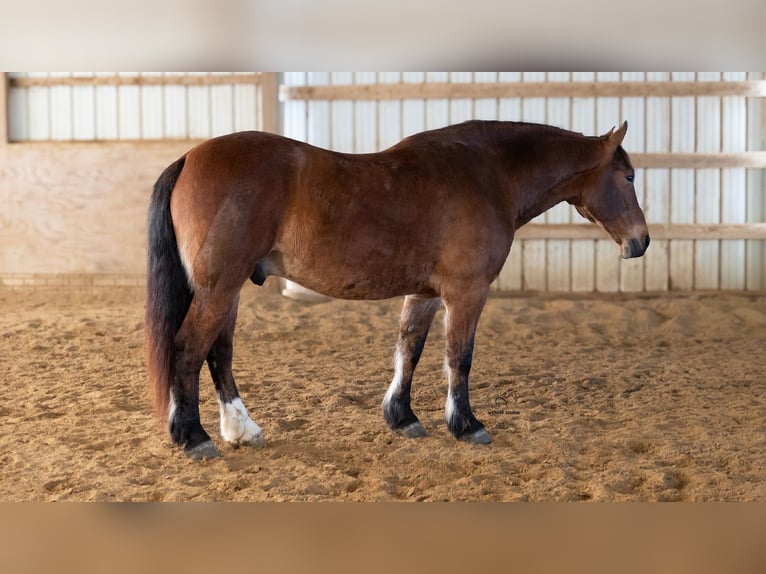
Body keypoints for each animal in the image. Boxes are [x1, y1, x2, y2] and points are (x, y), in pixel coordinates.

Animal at [145, 119, 650, 459]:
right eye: (628, 177)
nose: (641, 241)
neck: (488, 175)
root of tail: (190, 159)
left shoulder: (424, 293)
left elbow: (410, 349)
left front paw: (402, 417)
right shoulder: (466, 293)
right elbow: (458, 358)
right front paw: (466, 425)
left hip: (225, 291)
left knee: (219, 353)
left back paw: (241, 430)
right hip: (218, 288)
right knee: (189, 349)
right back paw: (194, 437)